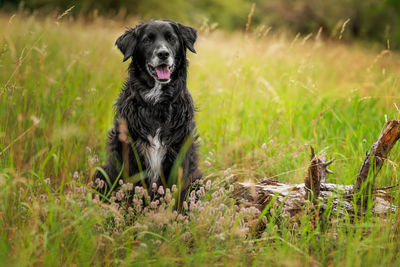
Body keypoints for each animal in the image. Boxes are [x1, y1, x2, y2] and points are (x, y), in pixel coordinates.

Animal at [95, 19, 202, 203]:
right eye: (147, 40)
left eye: (171, 38)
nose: (163, 54)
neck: (158, 104)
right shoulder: (130, 153)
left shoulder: (179, 154)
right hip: (101, 172)